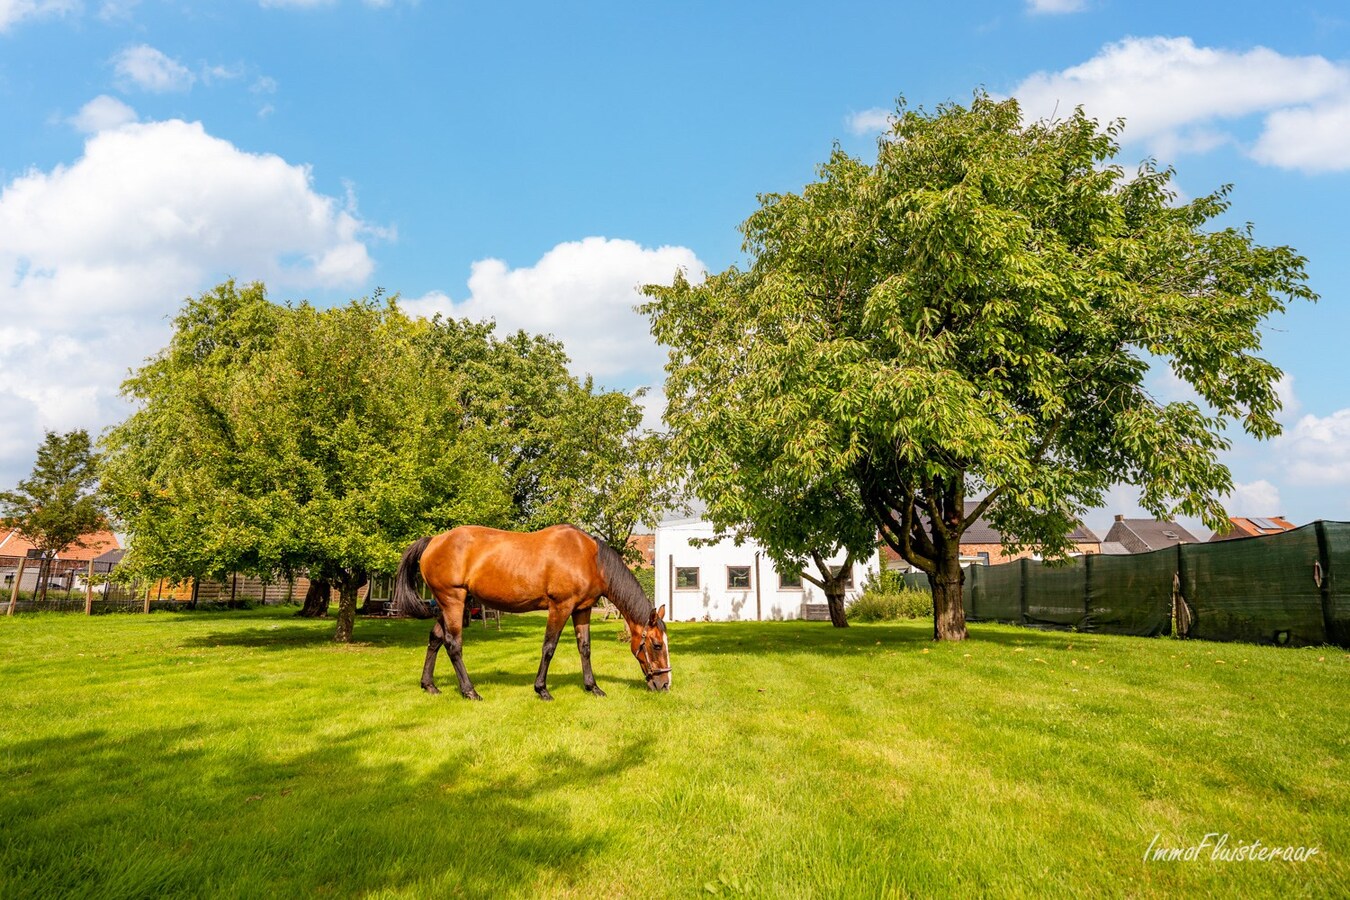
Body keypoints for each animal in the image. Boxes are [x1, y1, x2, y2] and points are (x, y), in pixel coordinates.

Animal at [391, 523, 669, 701]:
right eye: (656, 645)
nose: (665, 684)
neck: (589, 558)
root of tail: (433, 541)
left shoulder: (582, 609)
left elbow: (585, 648)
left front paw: (593, 687)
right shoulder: (560, 607)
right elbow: (549, 647)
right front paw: (542, 689)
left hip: (447, 604)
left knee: (435, 638)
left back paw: (429, 686)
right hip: (453, 601)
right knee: (453, 644)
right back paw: (469, 691)